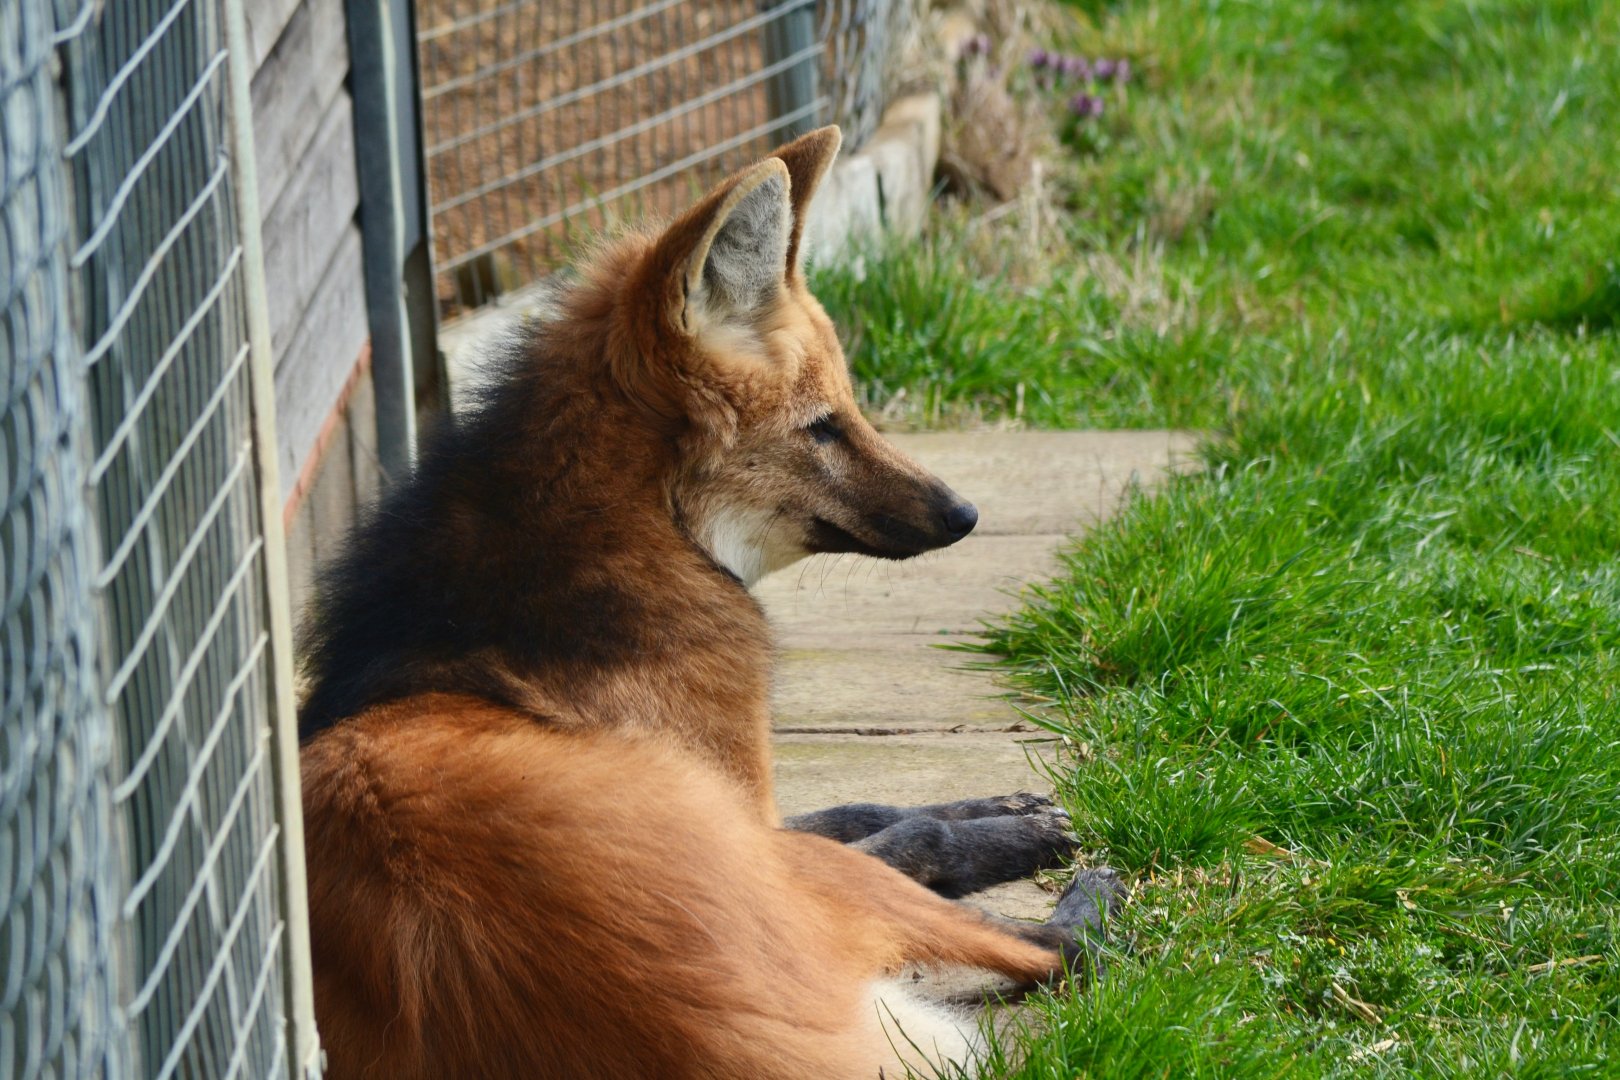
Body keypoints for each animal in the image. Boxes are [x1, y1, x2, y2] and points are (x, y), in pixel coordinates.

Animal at [297, 126, 1122, 1079]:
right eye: (822, 427)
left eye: (851, 410)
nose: (964, 513)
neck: (643, 538)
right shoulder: (756, 828)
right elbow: (904, 833)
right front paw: (1021, 830)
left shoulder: (735, 797)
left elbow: (862, 807)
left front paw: (1012, 806)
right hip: (804, 883)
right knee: (1065, 955)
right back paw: (1093, 900)